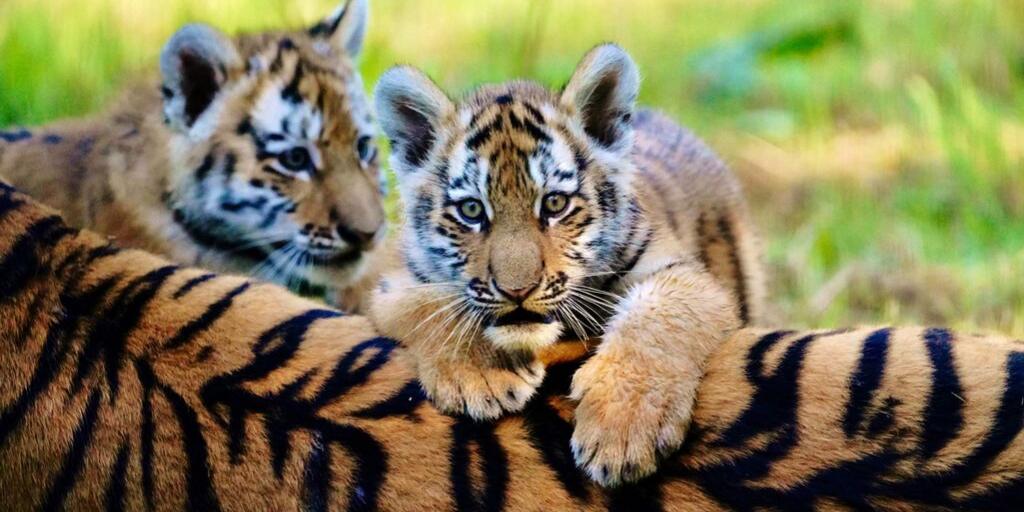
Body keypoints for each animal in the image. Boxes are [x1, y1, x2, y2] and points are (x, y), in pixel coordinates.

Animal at [367, 43, 765, 486]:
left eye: (555, 203)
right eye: (471, 210)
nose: (517, 290)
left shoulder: (684, 273)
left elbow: (661, 317)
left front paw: (623, 425)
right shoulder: (394, 283)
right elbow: (431, 307)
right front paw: (482, 376)